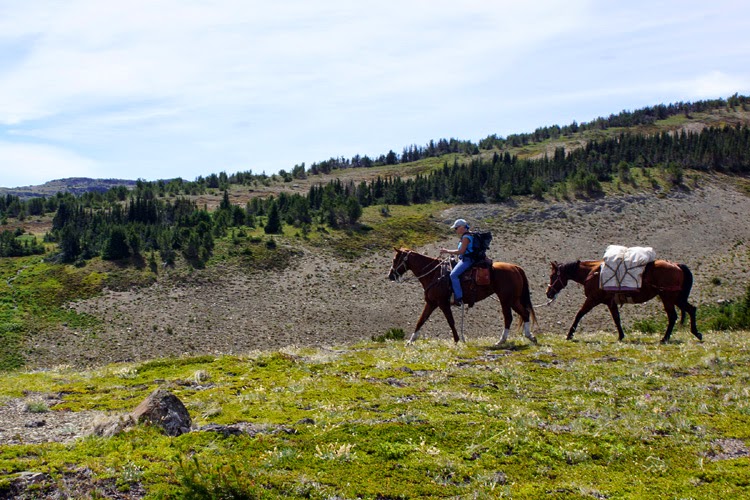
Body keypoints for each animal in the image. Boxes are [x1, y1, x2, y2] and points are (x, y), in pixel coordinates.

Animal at [388, 248, 537, 345]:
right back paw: (524, 337)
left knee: (513, 316)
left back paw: (505, 339)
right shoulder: (431, 303)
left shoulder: (443, 303)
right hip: (511, 299)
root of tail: (515, 267)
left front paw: (457, 340)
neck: (435, 274)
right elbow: (421, 320)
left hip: (507, 299)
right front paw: (410, 341)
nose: (390, 275)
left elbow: (451, 321)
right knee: (522, 314)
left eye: (395, 259)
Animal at [546, 260, 702, 343]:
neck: (593, 273)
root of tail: (676, 265)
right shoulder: (610, 303)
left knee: (673, 316)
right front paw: (621, 336)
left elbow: (579, 314)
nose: (548, 293)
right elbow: (617, 318)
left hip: (668, 298)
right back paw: (696, 333)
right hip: (676, 298)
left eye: (552, 276)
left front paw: (569, 335)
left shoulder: (592, 299)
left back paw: (665, 338)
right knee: (691, 309)